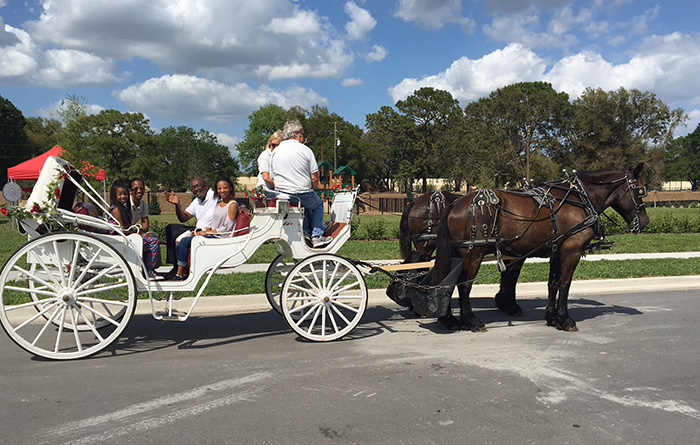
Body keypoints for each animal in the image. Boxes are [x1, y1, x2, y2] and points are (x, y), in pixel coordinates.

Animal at [432, 165, 652, 332]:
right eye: (641, 190)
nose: (645, 222)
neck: (581, 199)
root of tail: (456, 203)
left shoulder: (557, 251)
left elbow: (553, 284)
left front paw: (552, 318)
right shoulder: (571, 251)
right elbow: (565, 284)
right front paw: (565, 319)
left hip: (457, 253)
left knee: (447, 282)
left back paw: (449, 319)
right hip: (474, 253)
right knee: (464, 285)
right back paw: (470, 321)